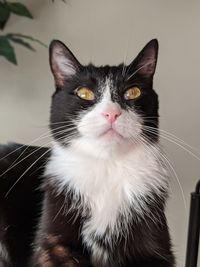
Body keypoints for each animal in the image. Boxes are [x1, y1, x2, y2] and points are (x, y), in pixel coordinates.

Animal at [0, 38, 175, 266]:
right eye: (84, 93)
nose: (112, 113)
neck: (106, 168)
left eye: (133, 92)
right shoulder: (52, 243)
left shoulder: (154, 239)